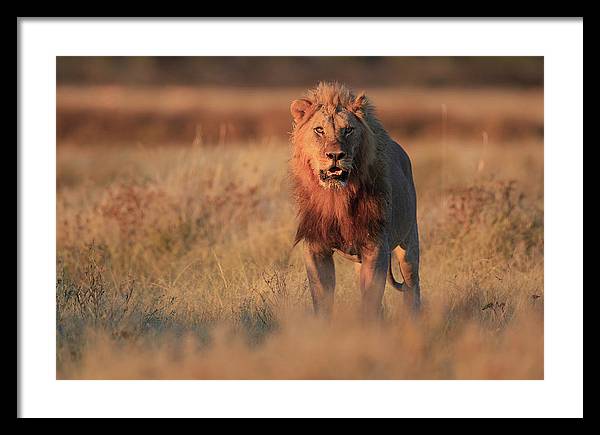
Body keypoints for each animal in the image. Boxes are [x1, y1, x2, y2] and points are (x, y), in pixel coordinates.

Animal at [288, 82, 420, 320]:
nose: (335, 155)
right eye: (319, 130)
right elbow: (321, 297)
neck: (336, 198)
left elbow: (371, 299)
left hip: (409, 244)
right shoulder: (315, 247)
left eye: (348, 130)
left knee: (412, 287)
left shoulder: (375, 247)